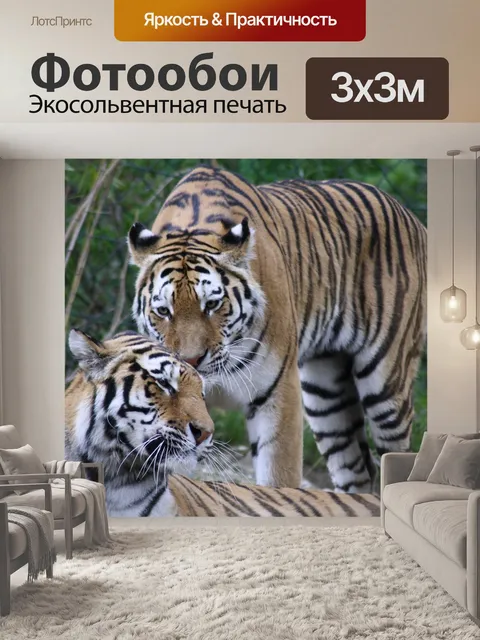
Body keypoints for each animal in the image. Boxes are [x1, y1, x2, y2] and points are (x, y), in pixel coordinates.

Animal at [127, 166, 427, 494]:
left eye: (213, 304)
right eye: (163, 311)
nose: (191, 361)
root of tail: (411, 217)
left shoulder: (277, 393)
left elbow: (278, 478)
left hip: (386, 387)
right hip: (326, 394)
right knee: (357, 471)